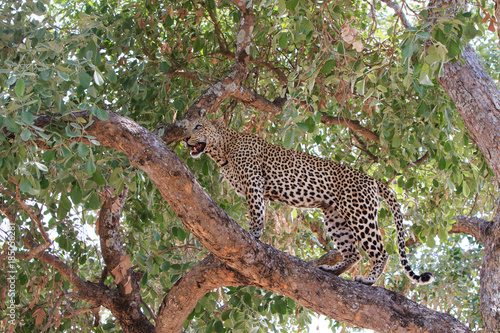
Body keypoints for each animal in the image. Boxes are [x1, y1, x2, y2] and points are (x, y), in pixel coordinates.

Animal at [184, 117, 434, 286]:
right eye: (187, 127)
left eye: (198, 127)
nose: (185, 138)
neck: (222, 150)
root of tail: (370, 178)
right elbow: (259, 210)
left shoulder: (253, 182)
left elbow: (256, 211)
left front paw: (253, 234)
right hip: (335, 218)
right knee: (352, 253)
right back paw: (332, 270)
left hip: (359, 213)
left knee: (381, 252)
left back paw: (368, 279)